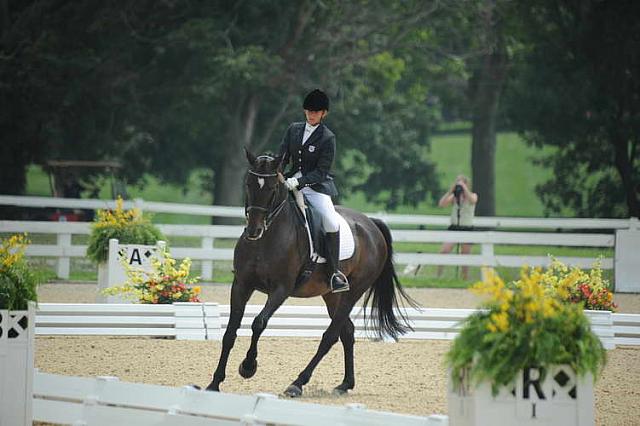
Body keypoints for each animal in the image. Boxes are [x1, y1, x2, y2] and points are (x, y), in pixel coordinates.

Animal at [202, 150, 418, 396]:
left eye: (273, 189)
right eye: (248, 184)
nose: (254, 231)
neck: (267, 237)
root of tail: (371, 224)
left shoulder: (281, 289)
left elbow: (259, 323)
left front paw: (248, 366)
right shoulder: (241, 284)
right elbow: (230, 332)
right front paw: (214, 383)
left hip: (353, 292)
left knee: (330, 336)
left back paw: (297, 383)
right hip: (332, 295)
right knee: (347, 332)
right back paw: (345, 384)